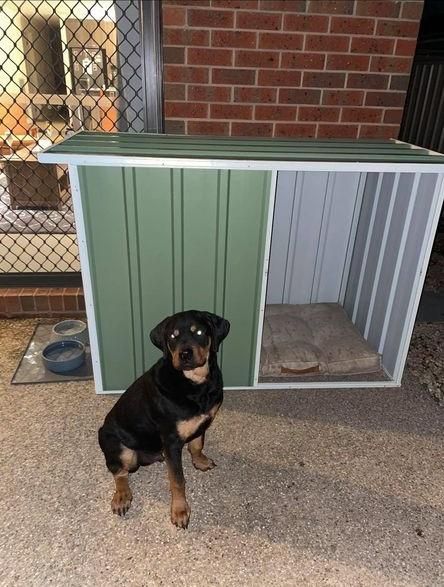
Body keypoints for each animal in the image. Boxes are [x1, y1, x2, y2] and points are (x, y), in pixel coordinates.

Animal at [97, 310, 229, 532]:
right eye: (173, 336)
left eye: (199, 332)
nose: (185, 354)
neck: (193, 384)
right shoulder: (171, 439)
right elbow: (177, 480)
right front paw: (180, 511)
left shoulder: (203, 422)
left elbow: (196, 444)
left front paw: (200, 461)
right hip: (121, 449)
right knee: (119, 472)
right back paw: (122, 497)